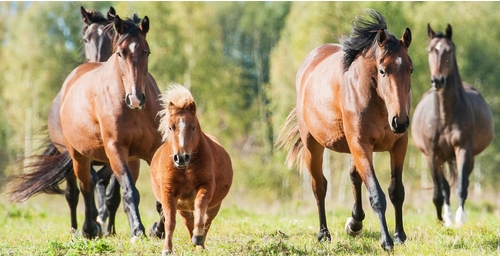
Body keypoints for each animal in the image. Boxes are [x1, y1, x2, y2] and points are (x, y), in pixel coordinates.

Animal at [7, 12, 162, 240]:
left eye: (146, 51)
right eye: (120, 53)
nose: (135, 98)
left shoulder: (152, 149)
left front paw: (157, 229)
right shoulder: (115, 149)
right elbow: (127, 190)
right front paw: (137, 230)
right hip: (77, 155)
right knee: (82, 188)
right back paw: (86, 229)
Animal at [148, 84, 234, 254]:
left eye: (193, 127)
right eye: (170, 127)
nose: (181, 157)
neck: (185, 170)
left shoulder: (205, 187)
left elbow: (200, 207)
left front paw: (198, 237)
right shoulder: (168, 193)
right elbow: (170, 222)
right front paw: (167, 249)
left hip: (214, 205)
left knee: (207, 221)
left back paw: (199, 243)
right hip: (183, 207)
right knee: (188, 221)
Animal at [276, 9, 412, 250]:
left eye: (411, 70)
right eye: (382, 70)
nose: (400, 121)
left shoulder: (398, 145)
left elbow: (396, 191)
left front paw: (399, 236)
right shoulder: (361, 144)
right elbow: (376, 194)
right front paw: (386, 241)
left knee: (354, 177)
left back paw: (355, 222)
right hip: (313, 146)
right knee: (319, 186)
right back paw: (324, 234)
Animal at [412, 24, 494, 227]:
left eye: (449, 50)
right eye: (430, 50)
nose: (438, 80)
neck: (444, 116)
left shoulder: (463, 149)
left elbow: (461, 186)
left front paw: (459, 218)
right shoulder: (433, 155)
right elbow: (441, 190)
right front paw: (446, 219)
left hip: (468, 157)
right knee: (442, 187)